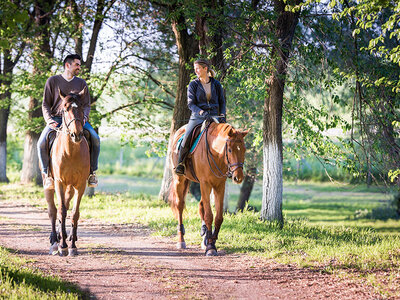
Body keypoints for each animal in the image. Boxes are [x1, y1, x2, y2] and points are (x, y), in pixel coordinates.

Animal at [44, 88, 90, 256]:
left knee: (65, 205)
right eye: (65, 109)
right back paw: (54, 242)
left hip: (70, 188)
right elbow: (62, 211)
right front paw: (63, 246)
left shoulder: (81, 185)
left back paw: (67, 236)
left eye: (82, 107)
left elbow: (74, 213)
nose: (76, 134)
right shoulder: (59, 183)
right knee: (53, 210)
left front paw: (72, 246)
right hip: (50, 185)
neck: (71, 152)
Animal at [169, 121, 247, 255]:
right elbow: (209, 215)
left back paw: (204, 237)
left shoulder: (219, 186)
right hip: (180, 179)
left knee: (201, 206)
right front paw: (210, 247)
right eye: (230, 150)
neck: (215, 153)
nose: (238, 177)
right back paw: (181, 240)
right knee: (180, 206)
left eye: (244, 150)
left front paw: (211, 241)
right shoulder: (205, 184)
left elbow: (218, 217)